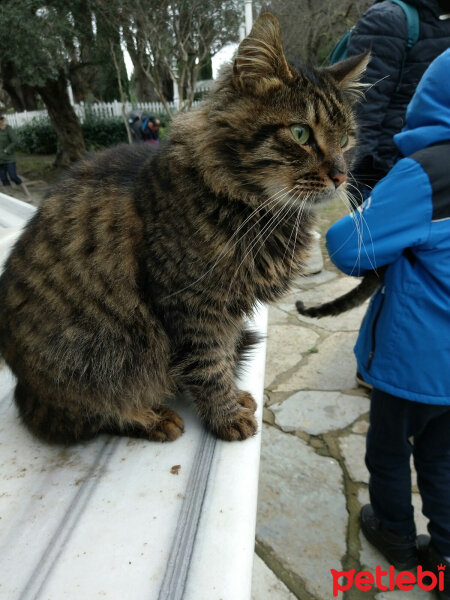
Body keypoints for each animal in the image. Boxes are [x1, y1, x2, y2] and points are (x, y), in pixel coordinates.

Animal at [0, 15, 370, 446]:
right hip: (91, 359)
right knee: (92, 411)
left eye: (345, 139)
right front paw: (226, 416)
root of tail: (23, 388)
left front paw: (235, 398)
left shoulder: (227, 309)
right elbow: (209, 365)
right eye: (300, 134)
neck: (258, 212)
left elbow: (222, 355)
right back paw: (152, 418)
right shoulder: (192, 304)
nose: (342, 176)